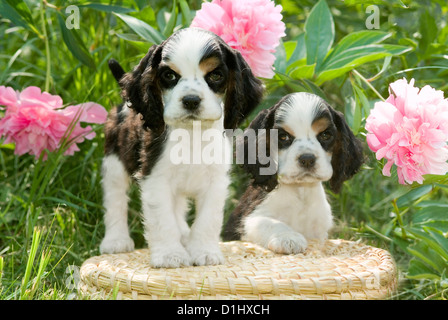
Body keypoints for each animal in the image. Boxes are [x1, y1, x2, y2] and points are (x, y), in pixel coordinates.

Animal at [100, 28, 264, 268]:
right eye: (169, 76)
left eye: (216, 75)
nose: (191, 100)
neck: (191, 133)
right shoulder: (156, 178)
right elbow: (162, 219)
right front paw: (170, 255)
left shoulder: (215, 181)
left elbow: (207, 219)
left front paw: (204, 252)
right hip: (115, 163)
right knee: (115, 199)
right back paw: (116, 240)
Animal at [222, 92, 362, 255]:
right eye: (283, 136)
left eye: (326, 135)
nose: (307, 159)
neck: (300, 191)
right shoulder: (249, 218)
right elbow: (270, 222)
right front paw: (288, 238)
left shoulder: (319, 231)